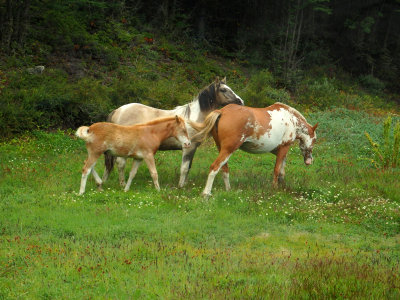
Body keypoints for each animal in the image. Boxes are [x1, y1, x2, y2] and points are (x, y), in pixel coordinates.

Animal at [101, 77, 242, 188]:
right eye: (224, 90)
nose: (240, 101)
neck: (192, 119)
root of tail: (118, 110)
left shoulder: (193, 149)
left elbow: (188, 167)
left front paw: (184, 185)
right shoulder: (188, 148)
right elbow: (184, 168)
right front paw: (180, 187)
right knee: (120, 164)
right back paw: (123, 184)